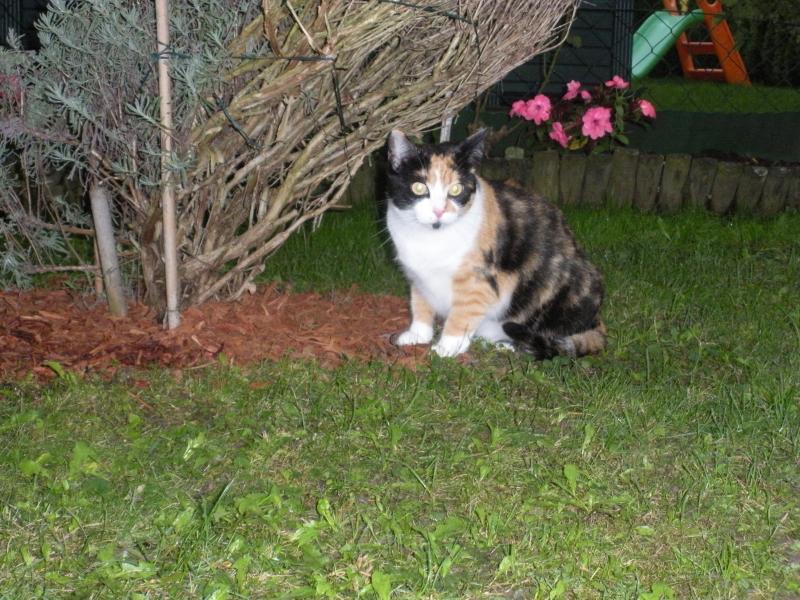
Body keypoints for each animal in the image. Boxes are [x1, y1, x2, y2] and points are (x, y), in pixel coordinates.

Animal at [385, 128, 606, 359]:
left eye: (456, 189)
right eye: (419, 187)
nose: (439, 211)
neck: (430, 238)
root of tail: (596, 321)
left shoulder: (479, 279)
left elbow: (462, 312)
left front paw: (447, 347)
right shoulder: (418, 277)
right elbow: (420, 303)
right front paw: (417, 335)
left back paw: (507, 345)